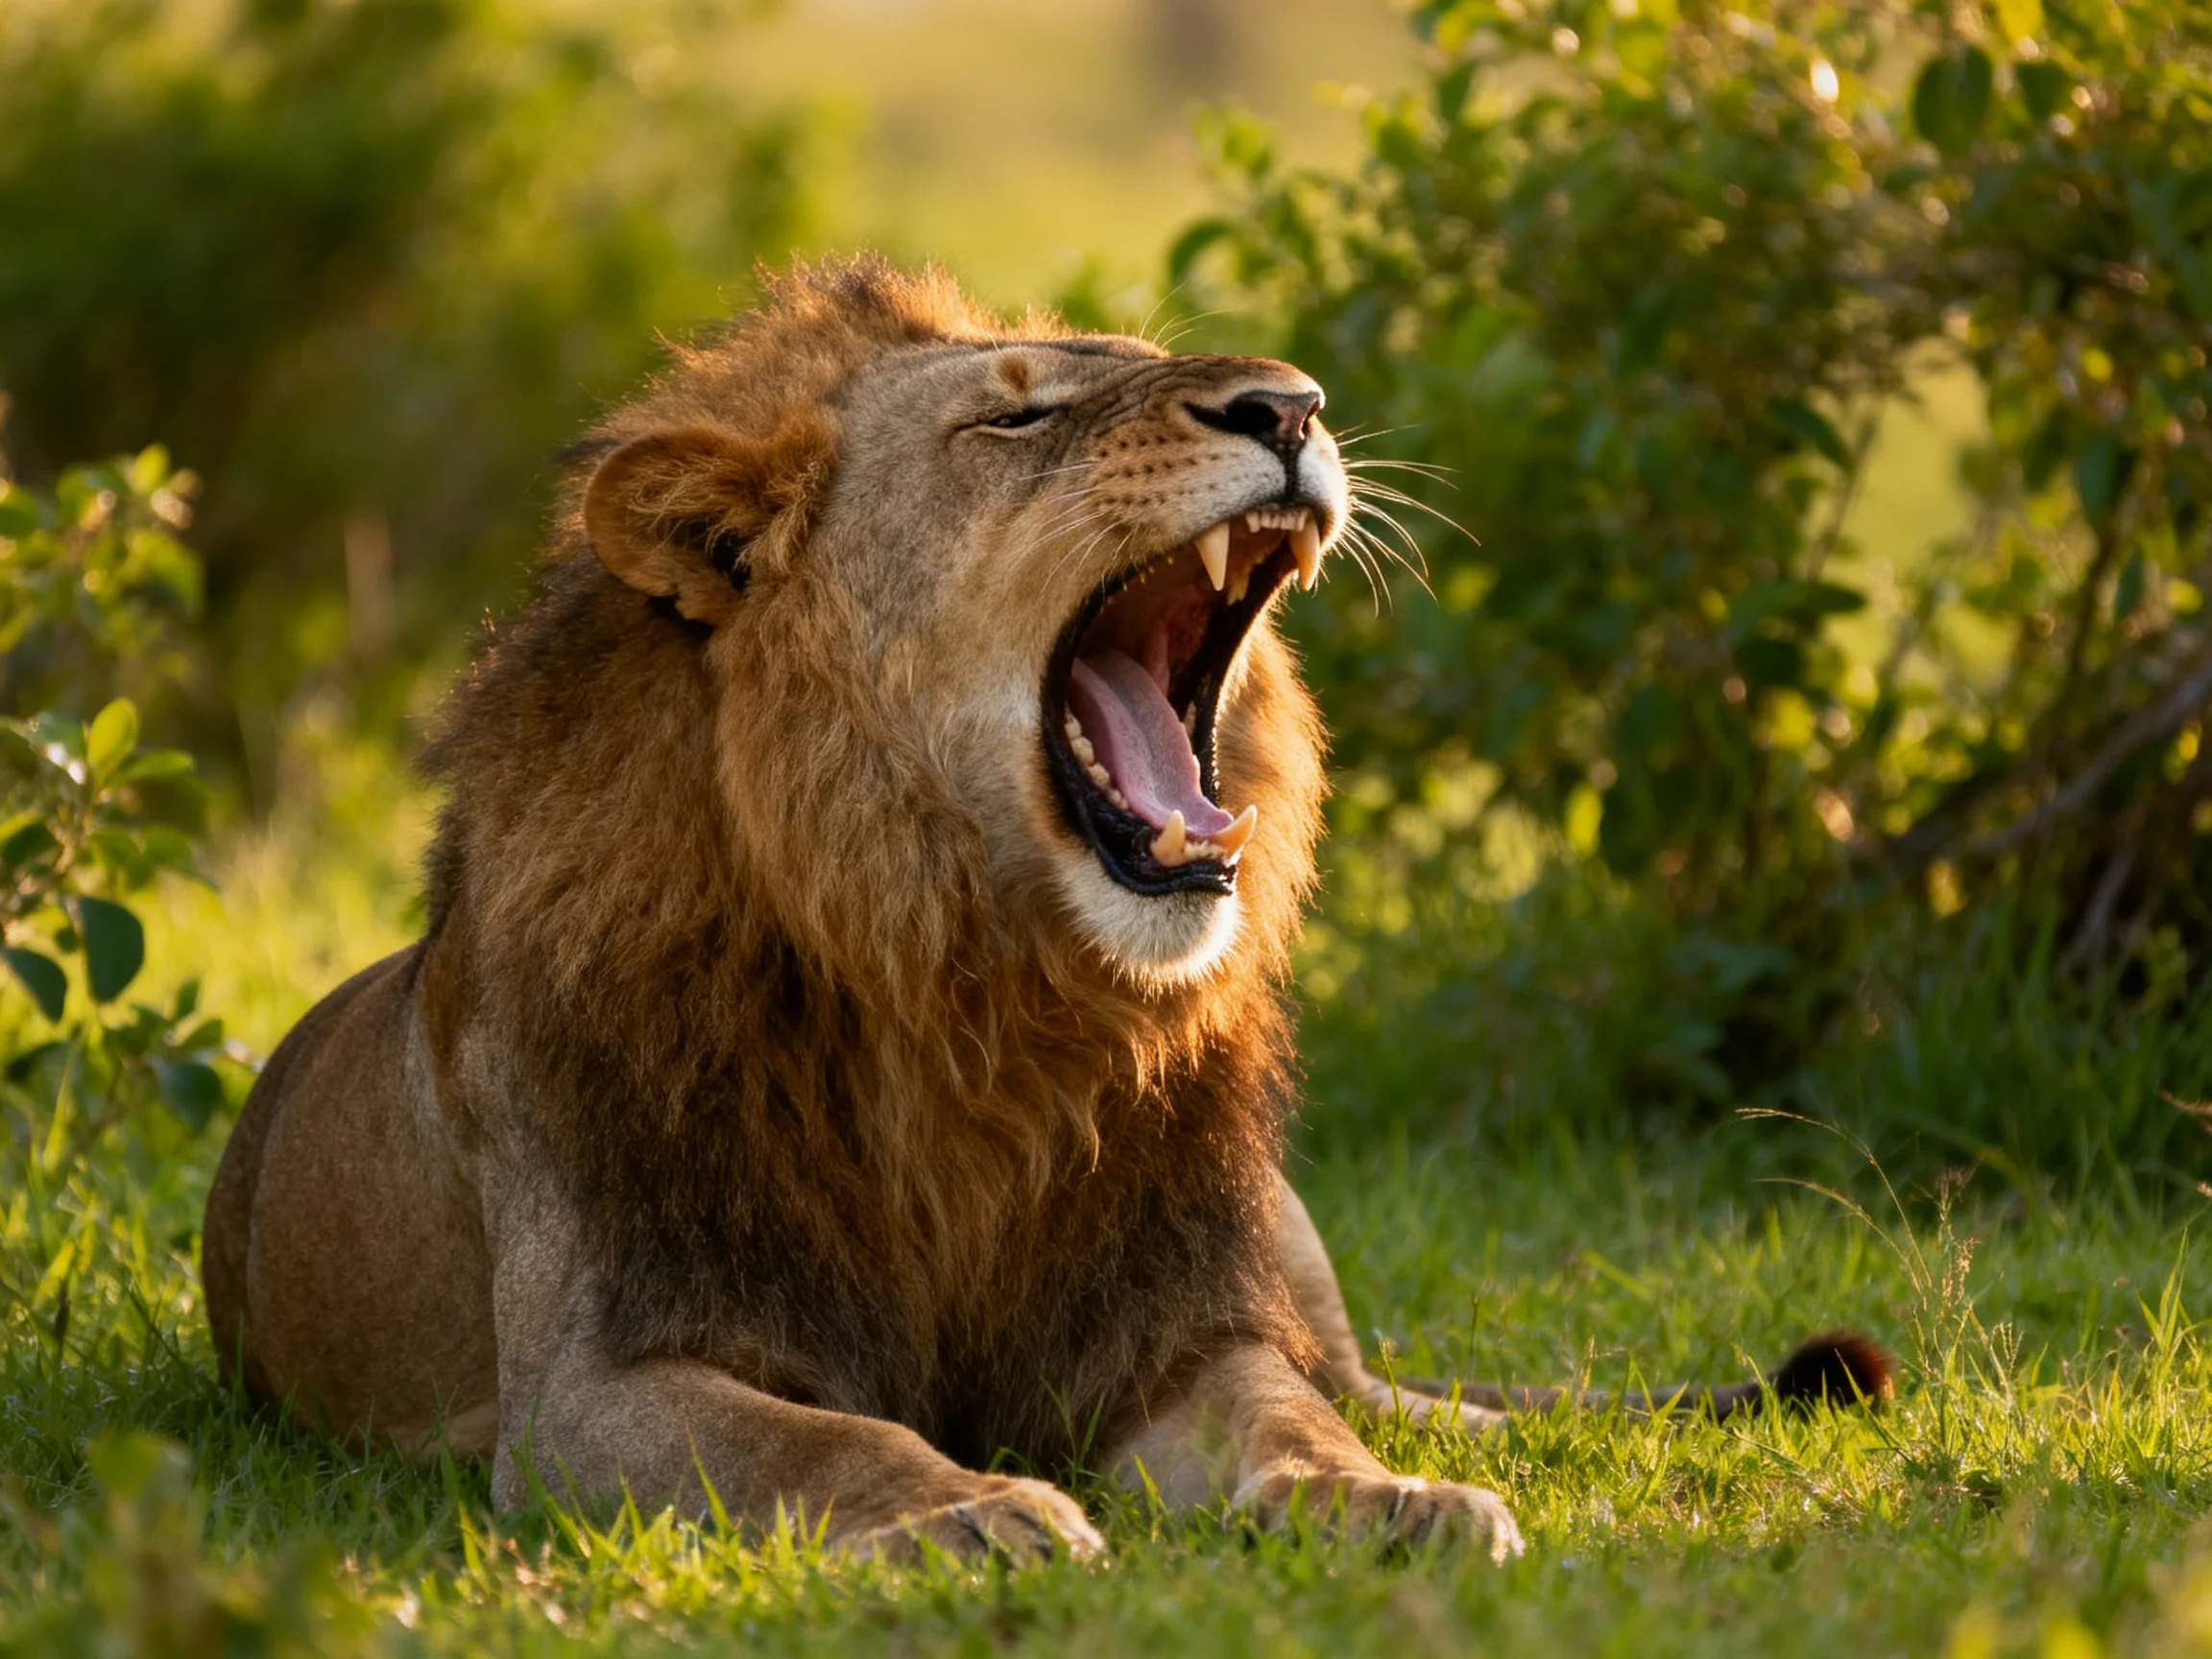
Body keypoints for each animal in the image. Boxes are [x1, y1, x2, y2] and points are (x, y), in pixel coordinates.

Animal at [201, 257, 1883, 1564]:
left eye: (1148, 371)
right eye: (1016, 415)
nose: (1292, 405)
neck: (971, 987)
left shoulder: (1170, 1329)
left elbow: (1290, 1423)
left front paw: (1389, 1503)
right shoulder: (589, 1386)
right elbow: (823, 1443)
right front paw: (971, 1510)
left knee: (1350, 1379)